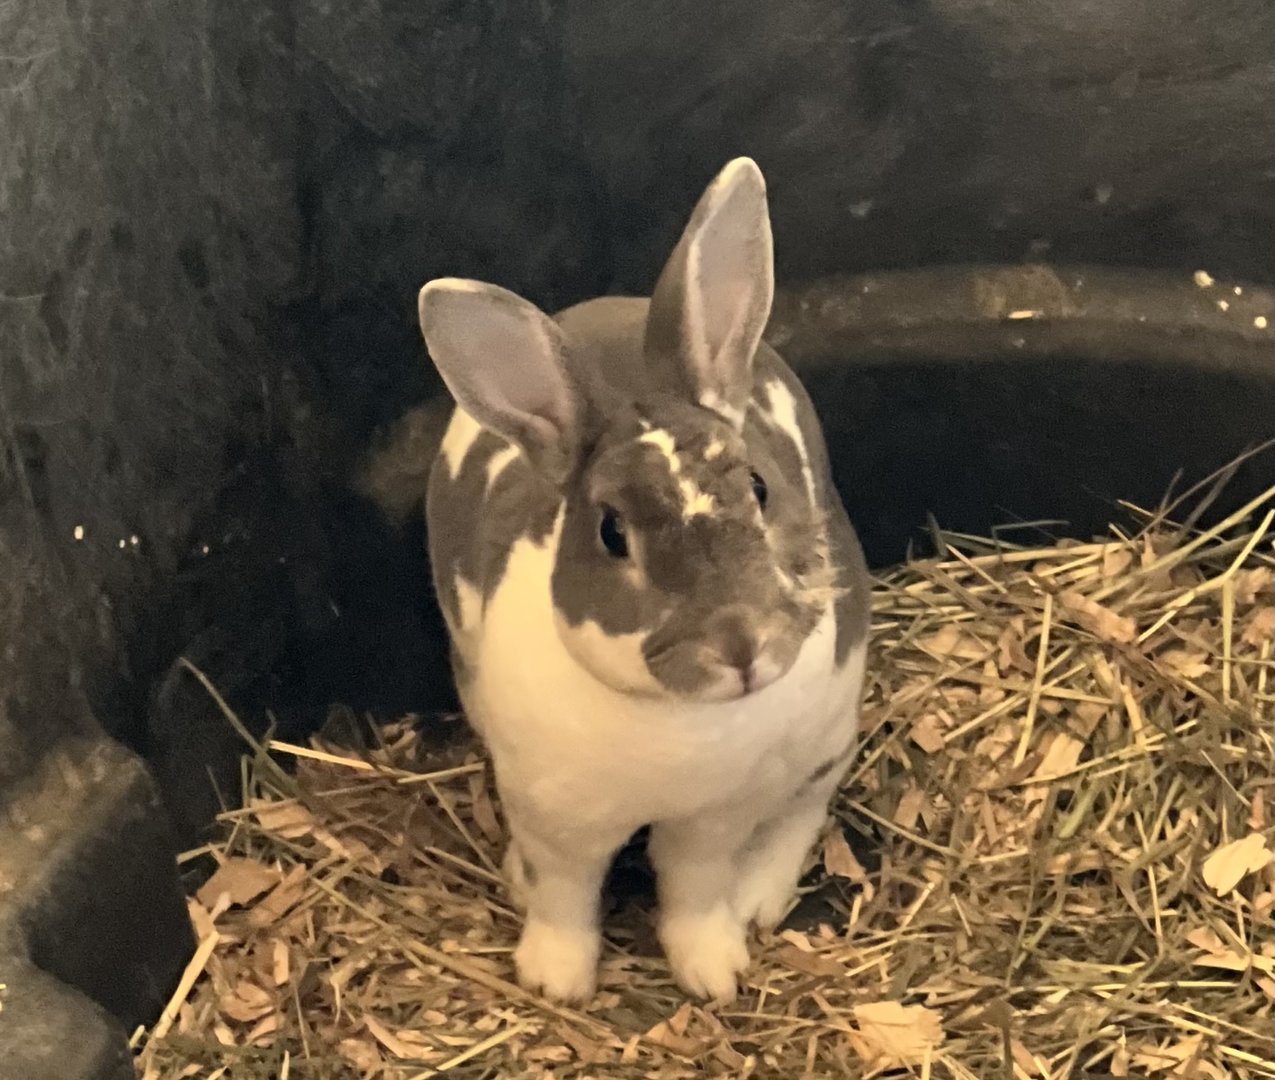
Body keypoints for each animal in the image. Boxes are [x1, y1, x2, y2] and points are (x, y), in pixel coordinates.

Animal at [416, 157, 871, 1005]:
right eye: (610, 532)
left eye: (758, 487)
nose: (740, 645)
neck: (672, 720)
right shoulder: (557, 821)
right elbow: (565, 897)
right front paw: (555, 981)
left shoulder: (711, 821)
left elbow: (693, 888)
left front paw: (714, 970)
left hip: (825, 737)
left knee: (802, 810)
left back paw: (759, 900)